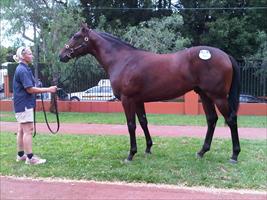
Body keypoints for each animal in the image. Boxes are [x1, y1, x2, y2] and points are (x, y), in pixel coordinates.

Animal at [59, 24, 242, 163]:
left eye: (76, 36)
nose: (61, 55)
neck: (123, 60)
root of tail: (225, 55)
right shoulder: (138, 100)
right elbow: (143, 122)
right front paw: (148, 148)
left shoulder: (127, 100)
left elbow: (131, 125)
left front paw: (131, 154)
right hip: (205, 95)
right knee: (212, 120)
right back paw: (202, 151)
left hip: (218, 97)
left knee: (231, 119)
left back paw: (234, 155)